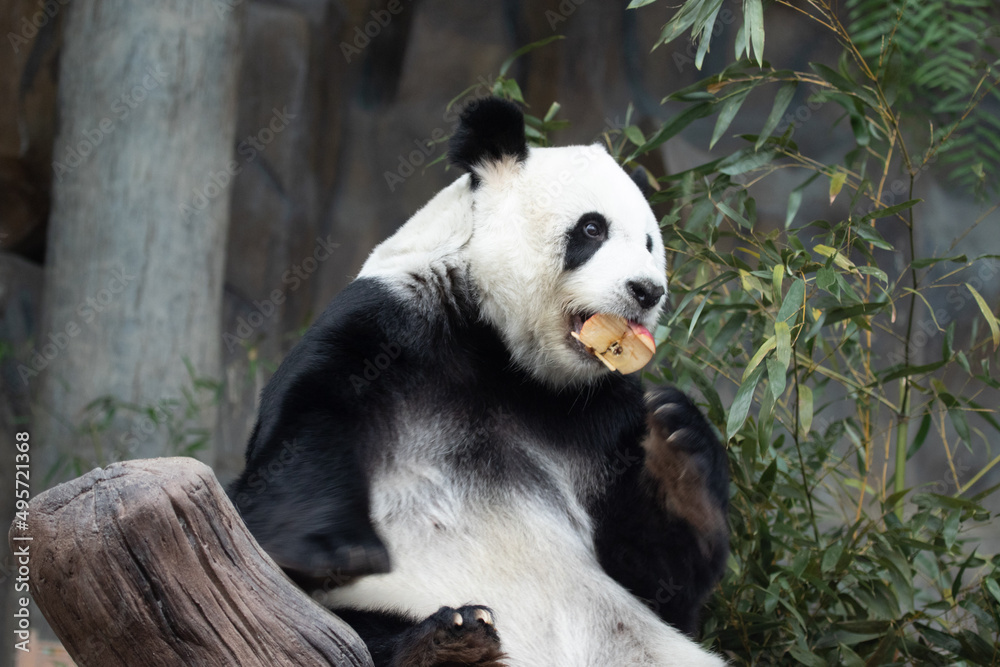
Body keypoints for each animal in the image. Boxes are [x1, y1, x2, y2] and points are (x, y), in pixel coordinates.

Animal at [229, 97, 729, 667]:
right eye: (592, 229)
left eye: (648, 242)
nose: (647, 291)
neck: (501, 352)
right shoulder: (389, 325)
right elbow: (302, 432)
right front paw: (330, 549)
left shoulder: (600, 417)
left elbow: (660, 583)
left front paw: (677, 454)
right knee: (364, 631)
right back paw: (445, 640)